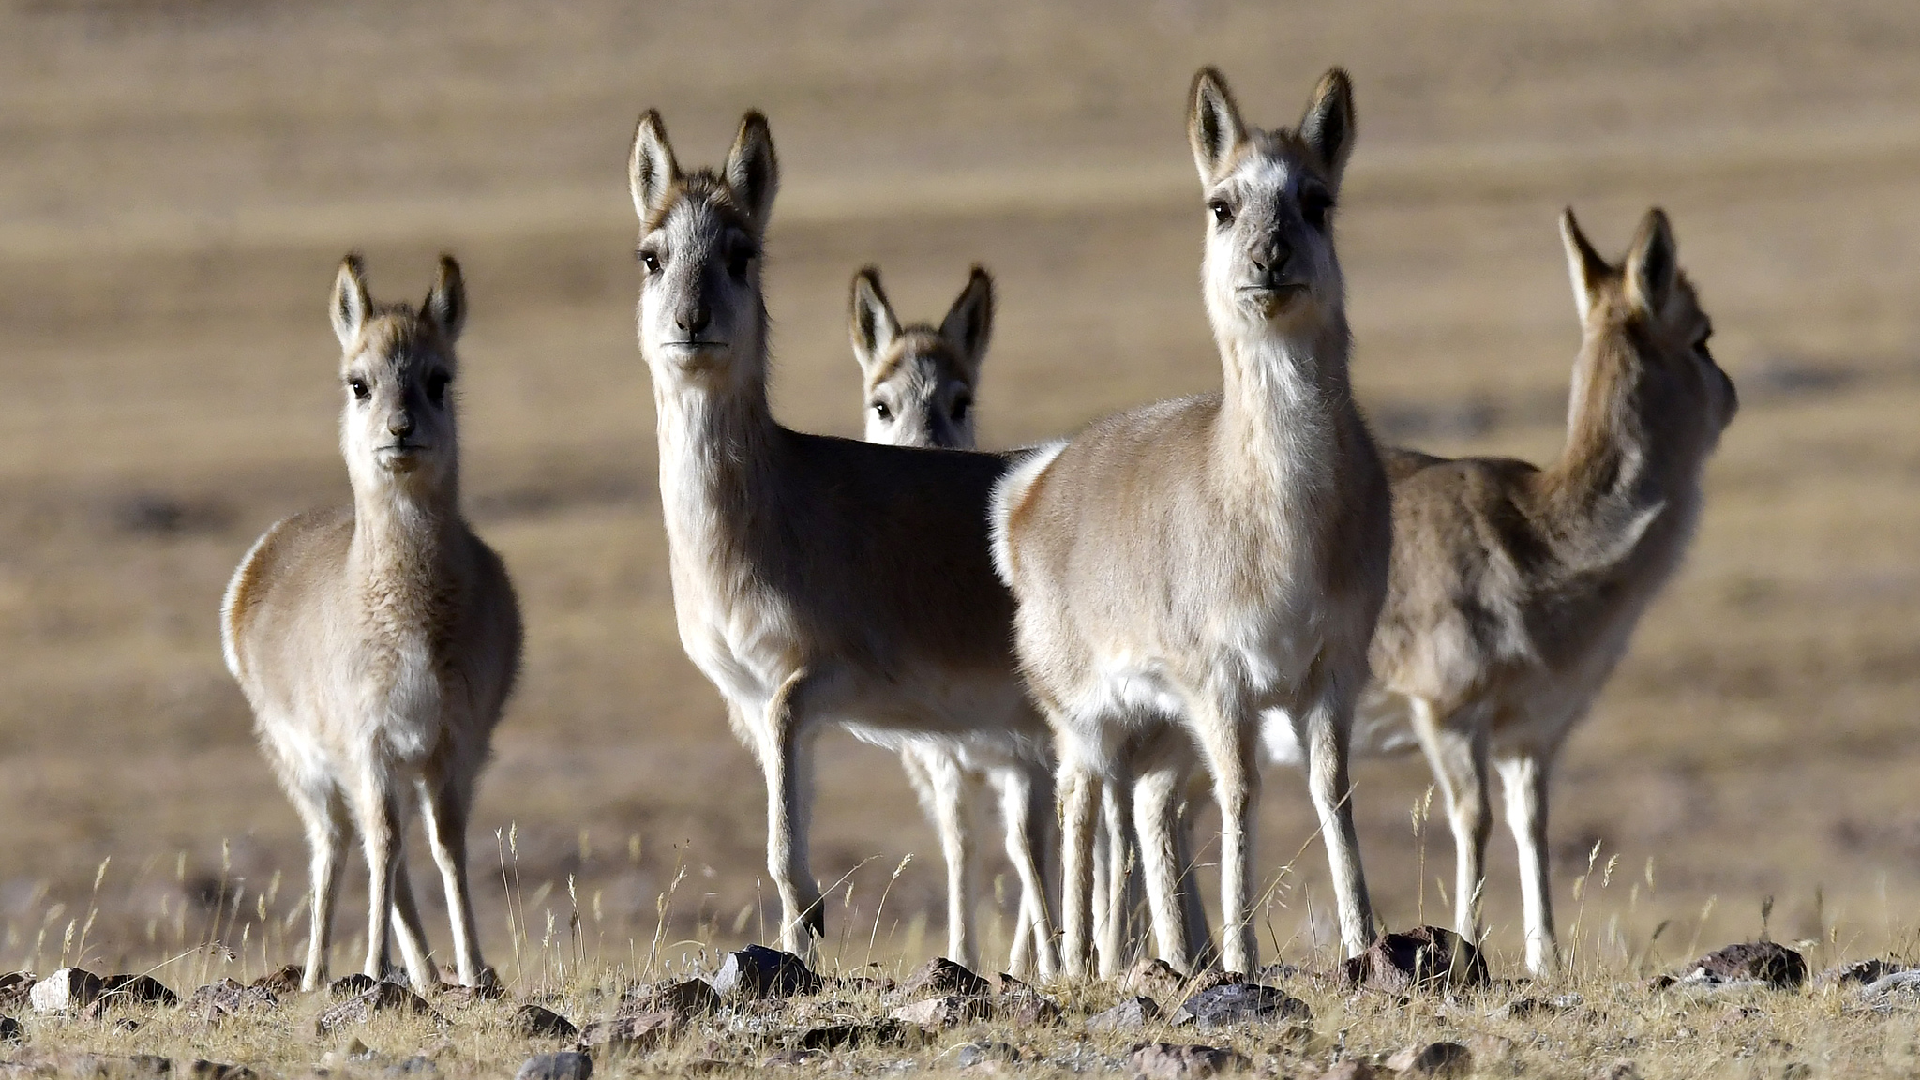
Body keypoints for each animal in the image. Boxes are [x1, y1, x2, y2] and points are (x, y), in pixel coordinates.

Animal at [222, 249, 526, 983]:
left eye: (439, 379)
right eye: (358, 383)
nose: (400, 431)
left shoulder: (451, 747)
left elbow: (446, 846)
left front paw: (475, 970)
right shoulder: (370, 746)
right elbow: (384, 848)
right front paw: (371, 965)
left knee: (383, 845)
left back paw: (426, 973)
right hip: (306, 767)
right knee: (336, 845)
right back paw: (315, 974)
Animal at [848, 263, 1059, 968]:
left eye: (960, 401)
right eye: (881, 404)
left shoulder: (1028, 753)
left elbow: (1030, 851)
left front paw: (1034, 964)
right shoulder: (944, 754)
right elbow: (962, 845)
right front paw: (962, 959)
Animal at [990, 69, 1397, 976]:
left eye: (1316, 199)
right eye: (1221, 204)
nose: (1269, 257)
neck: (1282, 525)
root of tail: (1033, 488)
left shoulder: (1331, 673)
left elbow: (1333, 790)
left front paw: (1367, 943)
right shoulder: (1223, 683)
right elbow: (1245, 792)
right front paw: (1243, 957)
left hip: (1162, 734)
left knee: (1147, 806)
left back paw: (1172, 956)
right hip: (1088, 718)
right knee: (1079, 802)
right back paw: (1080, 961)